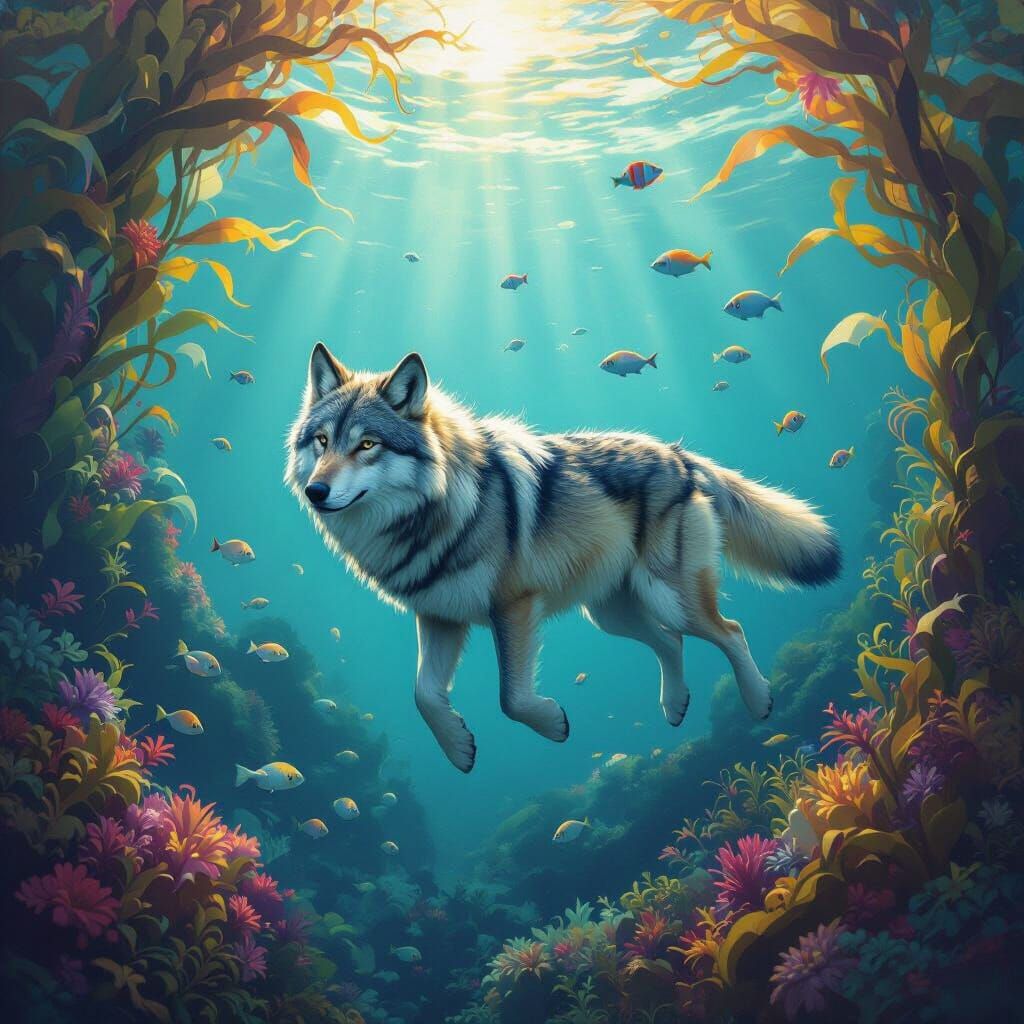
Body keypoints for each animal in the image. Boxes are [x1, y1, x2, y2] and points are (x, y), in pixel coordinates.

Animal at [286, 345, 840, 773]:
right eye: (323, 441)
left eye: (367, 445)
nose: (316, 492)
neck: (443, 509)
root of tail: (678, 454)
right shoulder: (439, 616)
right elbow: (423, 695)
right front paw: (460, 749)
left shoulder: (512, 607)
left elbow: (511, 698)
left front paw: (553, 725)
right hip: (612, 613)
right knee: (672, 642)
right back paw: (675, 706)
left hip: (668, 597)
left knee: (729, 631)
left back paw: (759, 702)